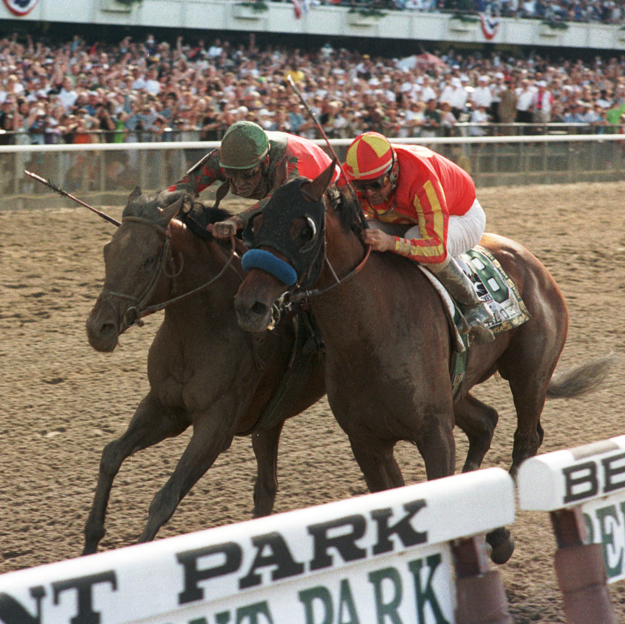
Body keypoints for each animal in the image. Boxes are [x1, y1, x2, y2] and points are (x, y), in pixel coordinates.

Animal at [83, 188, 324, 552]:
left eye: (149, 259)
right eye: (107, 250)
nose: (99, 328)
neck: (204, 327)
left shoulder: (216, 425)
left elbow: (165, 499)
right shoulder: (164, 407)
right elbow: (111, 455)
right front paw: (91, 539)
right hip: (269, 419)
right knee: (266, 488)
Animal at [235, 163, 616, 564]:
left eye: (304, 230)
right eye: (255, 226)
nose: (250, 305)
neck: (369, 329)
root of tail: (534, 262)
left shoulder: (435, 433)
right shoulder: (367, 442)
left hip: (530, 375)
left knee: (526, 439)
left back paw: (498, 534)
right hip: (458, 388)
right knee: (486, 422)